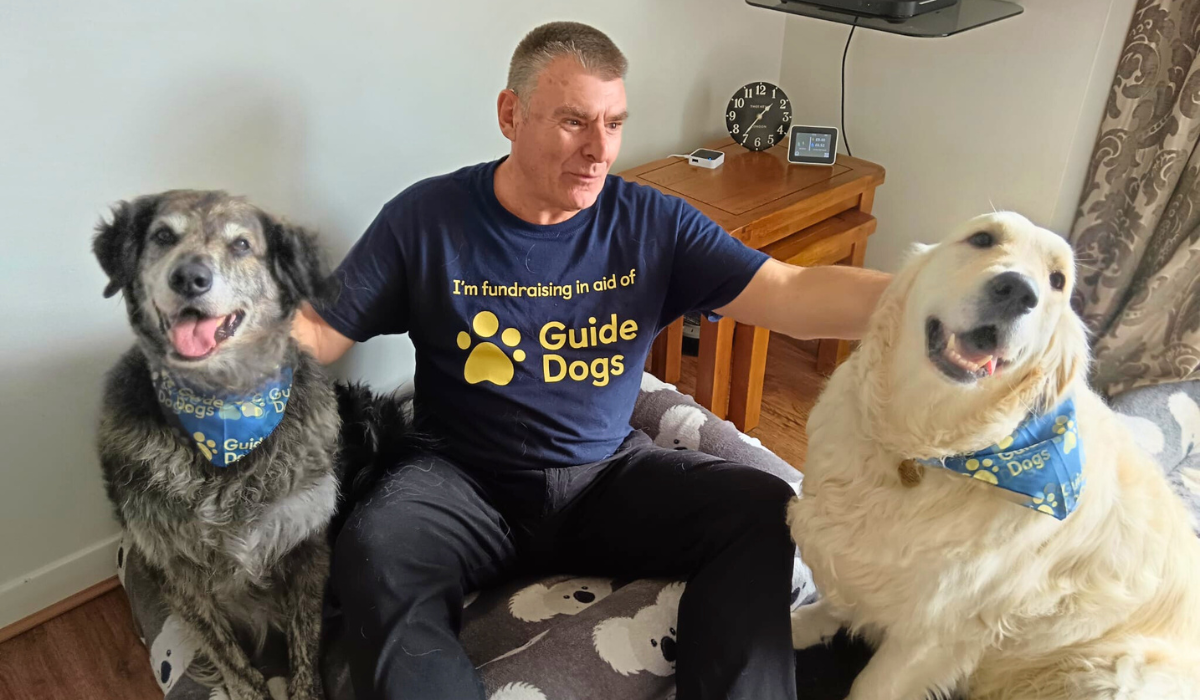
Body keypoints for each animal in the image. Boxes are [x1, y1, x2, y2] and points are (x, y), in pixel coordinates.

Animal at [92, 190, 412, 700]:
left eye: (241, 244)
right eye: (163, 236)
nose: (189, 277)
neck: (225, 415)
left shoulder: (306, 543)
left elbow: (305, 640)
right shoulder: (177, 570)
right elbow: (228, 654)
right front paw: (246, 687)